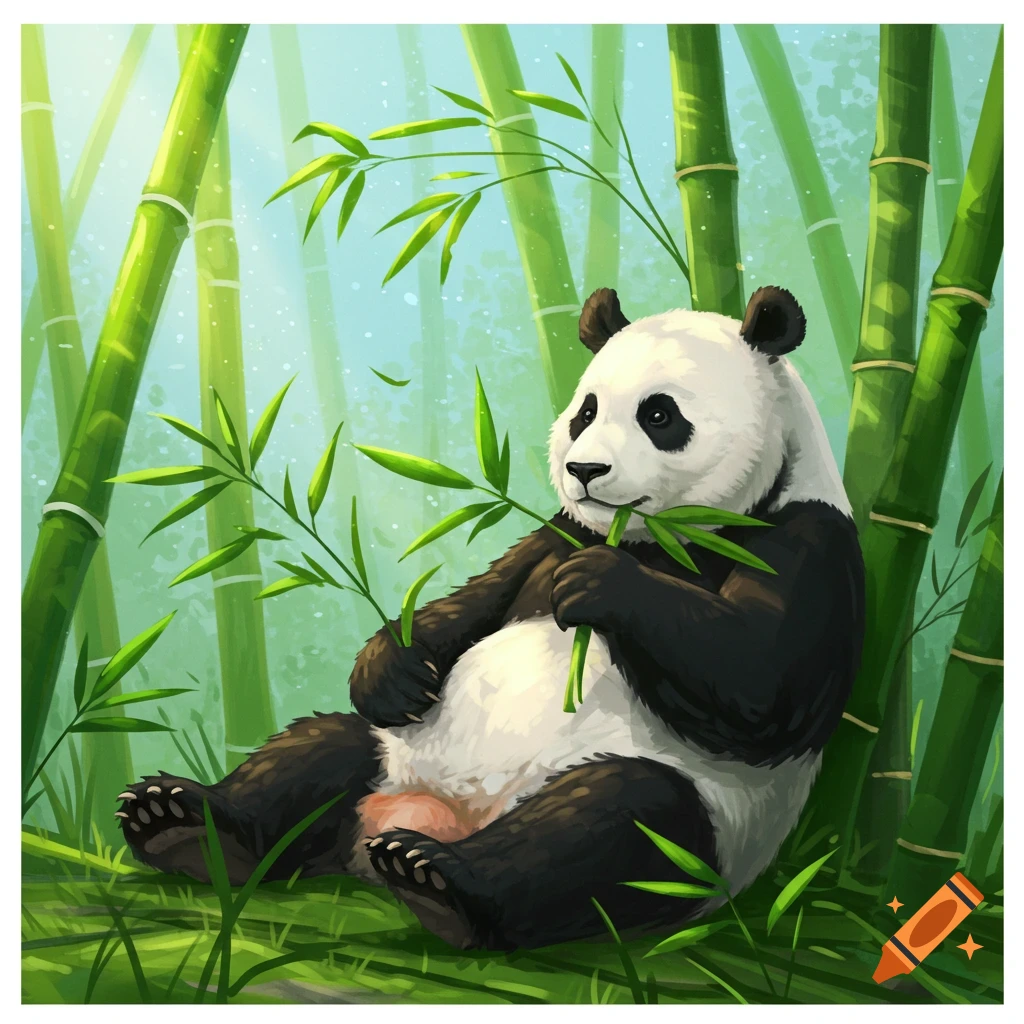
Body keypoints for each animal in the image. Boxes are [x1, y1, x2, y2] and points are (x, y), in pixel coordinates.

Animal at [115, 285, 864, 952]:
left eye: (660, 415)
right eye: (587, 410)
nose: (585, 469)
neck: (650, 539)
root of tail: (439, 816)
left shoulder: (808, 540)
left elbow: (764, 688)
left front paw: (600, 586)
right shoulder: (557, 531)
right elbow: (472, 603)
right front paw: (390, 669)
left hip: (700, 830)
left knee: (612, 825)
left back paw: (439, 883)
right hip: (397, 757)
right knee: (322, 747)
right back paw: (185, 822)